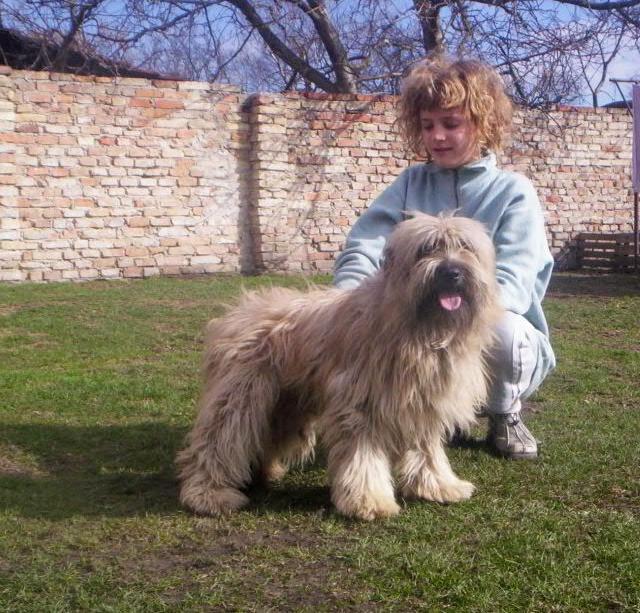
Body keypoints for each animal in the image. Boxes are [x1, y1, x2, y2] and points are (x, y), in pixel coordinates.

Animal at [178, 213, 502, 520]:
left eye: (465, 247)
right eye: (427, 249)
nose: (452, 272)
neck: (420, 328)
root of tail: (238, 312)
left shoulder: (423, 404)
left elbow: (427, 450)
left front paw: (440, 484)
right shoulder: (359, 406)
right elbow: (363, 456)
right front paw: (369, 500)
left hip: (286, 405)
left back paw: (263, 472)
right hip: (240, 397)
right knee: (219, 441)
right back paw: (209, 493)